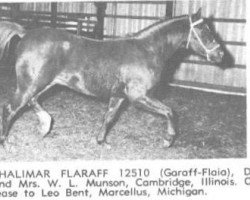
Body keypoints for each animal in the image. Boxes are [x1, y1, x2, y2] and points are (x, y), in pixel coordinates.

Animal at [0, 8, 225, 147]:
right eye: (204, 31)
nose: (220, 54)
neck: (147, 50)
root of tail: (25, 34)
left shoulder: (119, 96)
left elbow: (109, 117)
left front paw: (100, 141)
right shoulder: (138, 97)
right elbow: (169, 111)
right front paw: (168, 140)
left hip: (45, 83)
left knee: (31, 101)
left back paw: (45, 125)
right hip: (32, 83)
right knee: (12, 108)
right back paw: (5, 140)